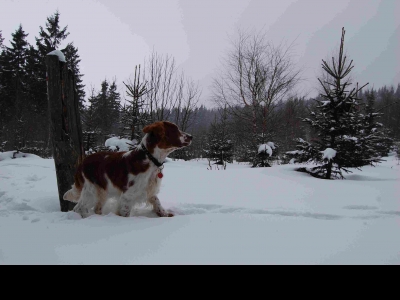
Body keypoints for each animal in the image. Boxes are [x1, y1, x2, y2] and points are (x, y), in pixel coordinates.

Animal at [63, 121, 193, 218]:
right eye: (175, 129)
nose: (191, 136)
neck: (150, 158)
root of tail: (82, 162)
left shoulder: (149, 190)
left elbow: (157, 202)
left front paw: (165, 214)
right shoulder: (128, 195)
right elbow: (125, 213)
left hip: (101, 191)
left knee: (96, 208)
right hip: (91, 189)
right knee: (79, 207)